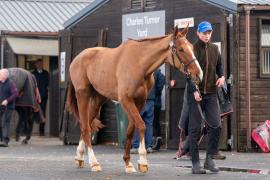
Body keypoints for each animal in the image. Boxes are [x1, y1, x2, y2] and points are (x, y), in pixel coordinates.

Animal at [67, 26, 202, 174]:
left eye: (191, 47)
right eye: (181, 49)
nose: (198, 74)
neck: (139, 64)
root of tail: (77, 58)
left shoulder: (140, 101)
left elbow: (131, 130)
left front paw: (128, 163)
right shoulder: (126, 100)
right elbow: (141, 125)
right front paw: (142, 160)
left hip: (99, 99)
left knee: (87, 125)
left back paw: (79, 156)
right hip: (83, 95)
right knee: (85, 127)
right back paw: (94, 162)